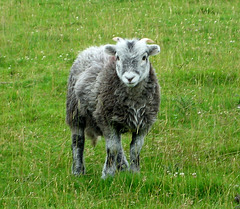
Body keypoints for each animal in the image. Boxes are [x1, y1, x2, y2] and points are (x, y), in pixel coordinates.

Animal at [65, 37, 160, 178]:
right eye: (118, 57)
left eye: (144, 57)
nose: (130, 78)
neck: (133, 99)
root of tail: (93, 48)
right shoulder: (107, 121)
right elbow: (112, 149)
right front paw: (108, 175)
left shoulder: (144, 124)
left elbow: (135, 149)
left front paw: (135, 173)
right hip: (75, 111)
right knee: (78, 141)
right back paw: (78, 170)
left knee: (118, 143)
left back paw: (123, 167)